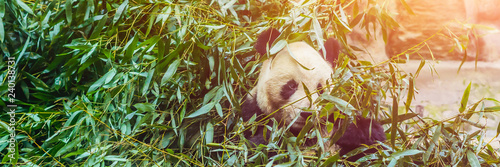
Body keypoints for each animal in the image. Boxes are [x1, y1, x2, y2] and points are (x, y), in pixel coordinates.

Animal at [242, 28, 386, 161]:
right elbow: (254, 148)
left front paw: (356, 133)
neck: (301, 132)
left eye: (320, 89)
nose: (307, 113)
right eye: (291, 86)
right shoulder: (252, 115)